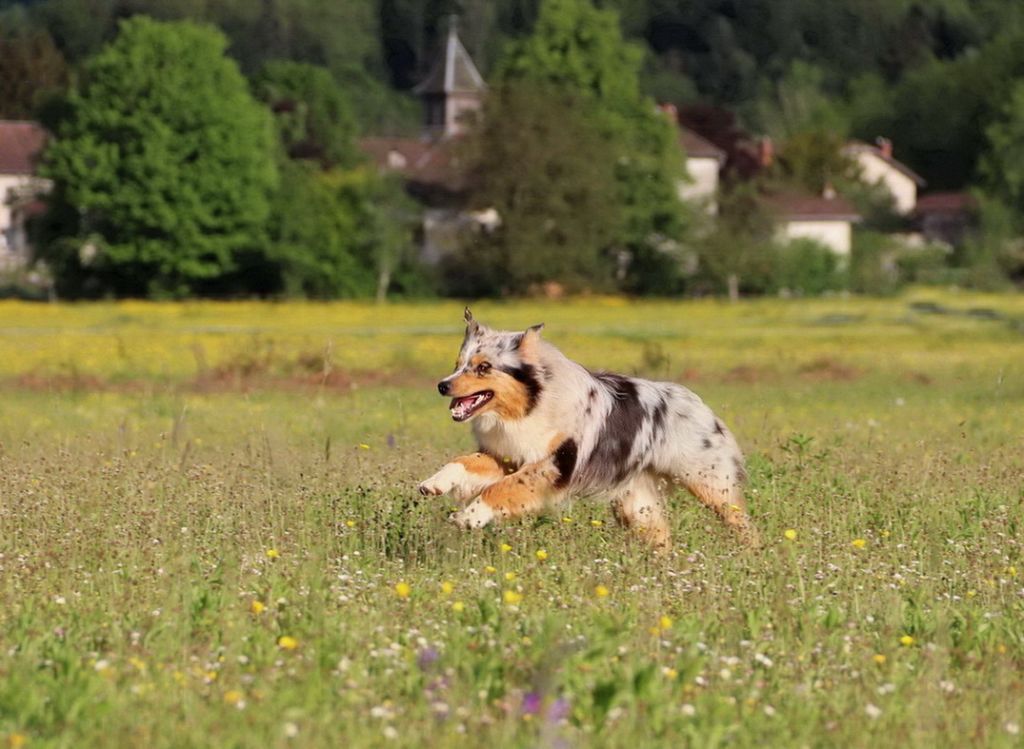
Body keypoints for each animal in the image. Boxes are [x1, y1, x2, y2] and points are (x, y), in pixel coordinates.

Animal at [417, 311, 761, 549]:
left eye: (484, 367)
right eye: (458, 364)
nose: (441, 385)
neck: (530, 405)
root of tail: (700, 404)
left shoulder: (554, 464)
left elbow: (501, 489)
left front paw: (469, 517)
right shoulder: (507, 456)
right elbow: (465, 462)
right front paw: (434, 484)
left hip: (711, 484)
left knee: (743, 523)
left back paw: (752, 558)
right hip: (637, 504)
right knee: (662, 540)